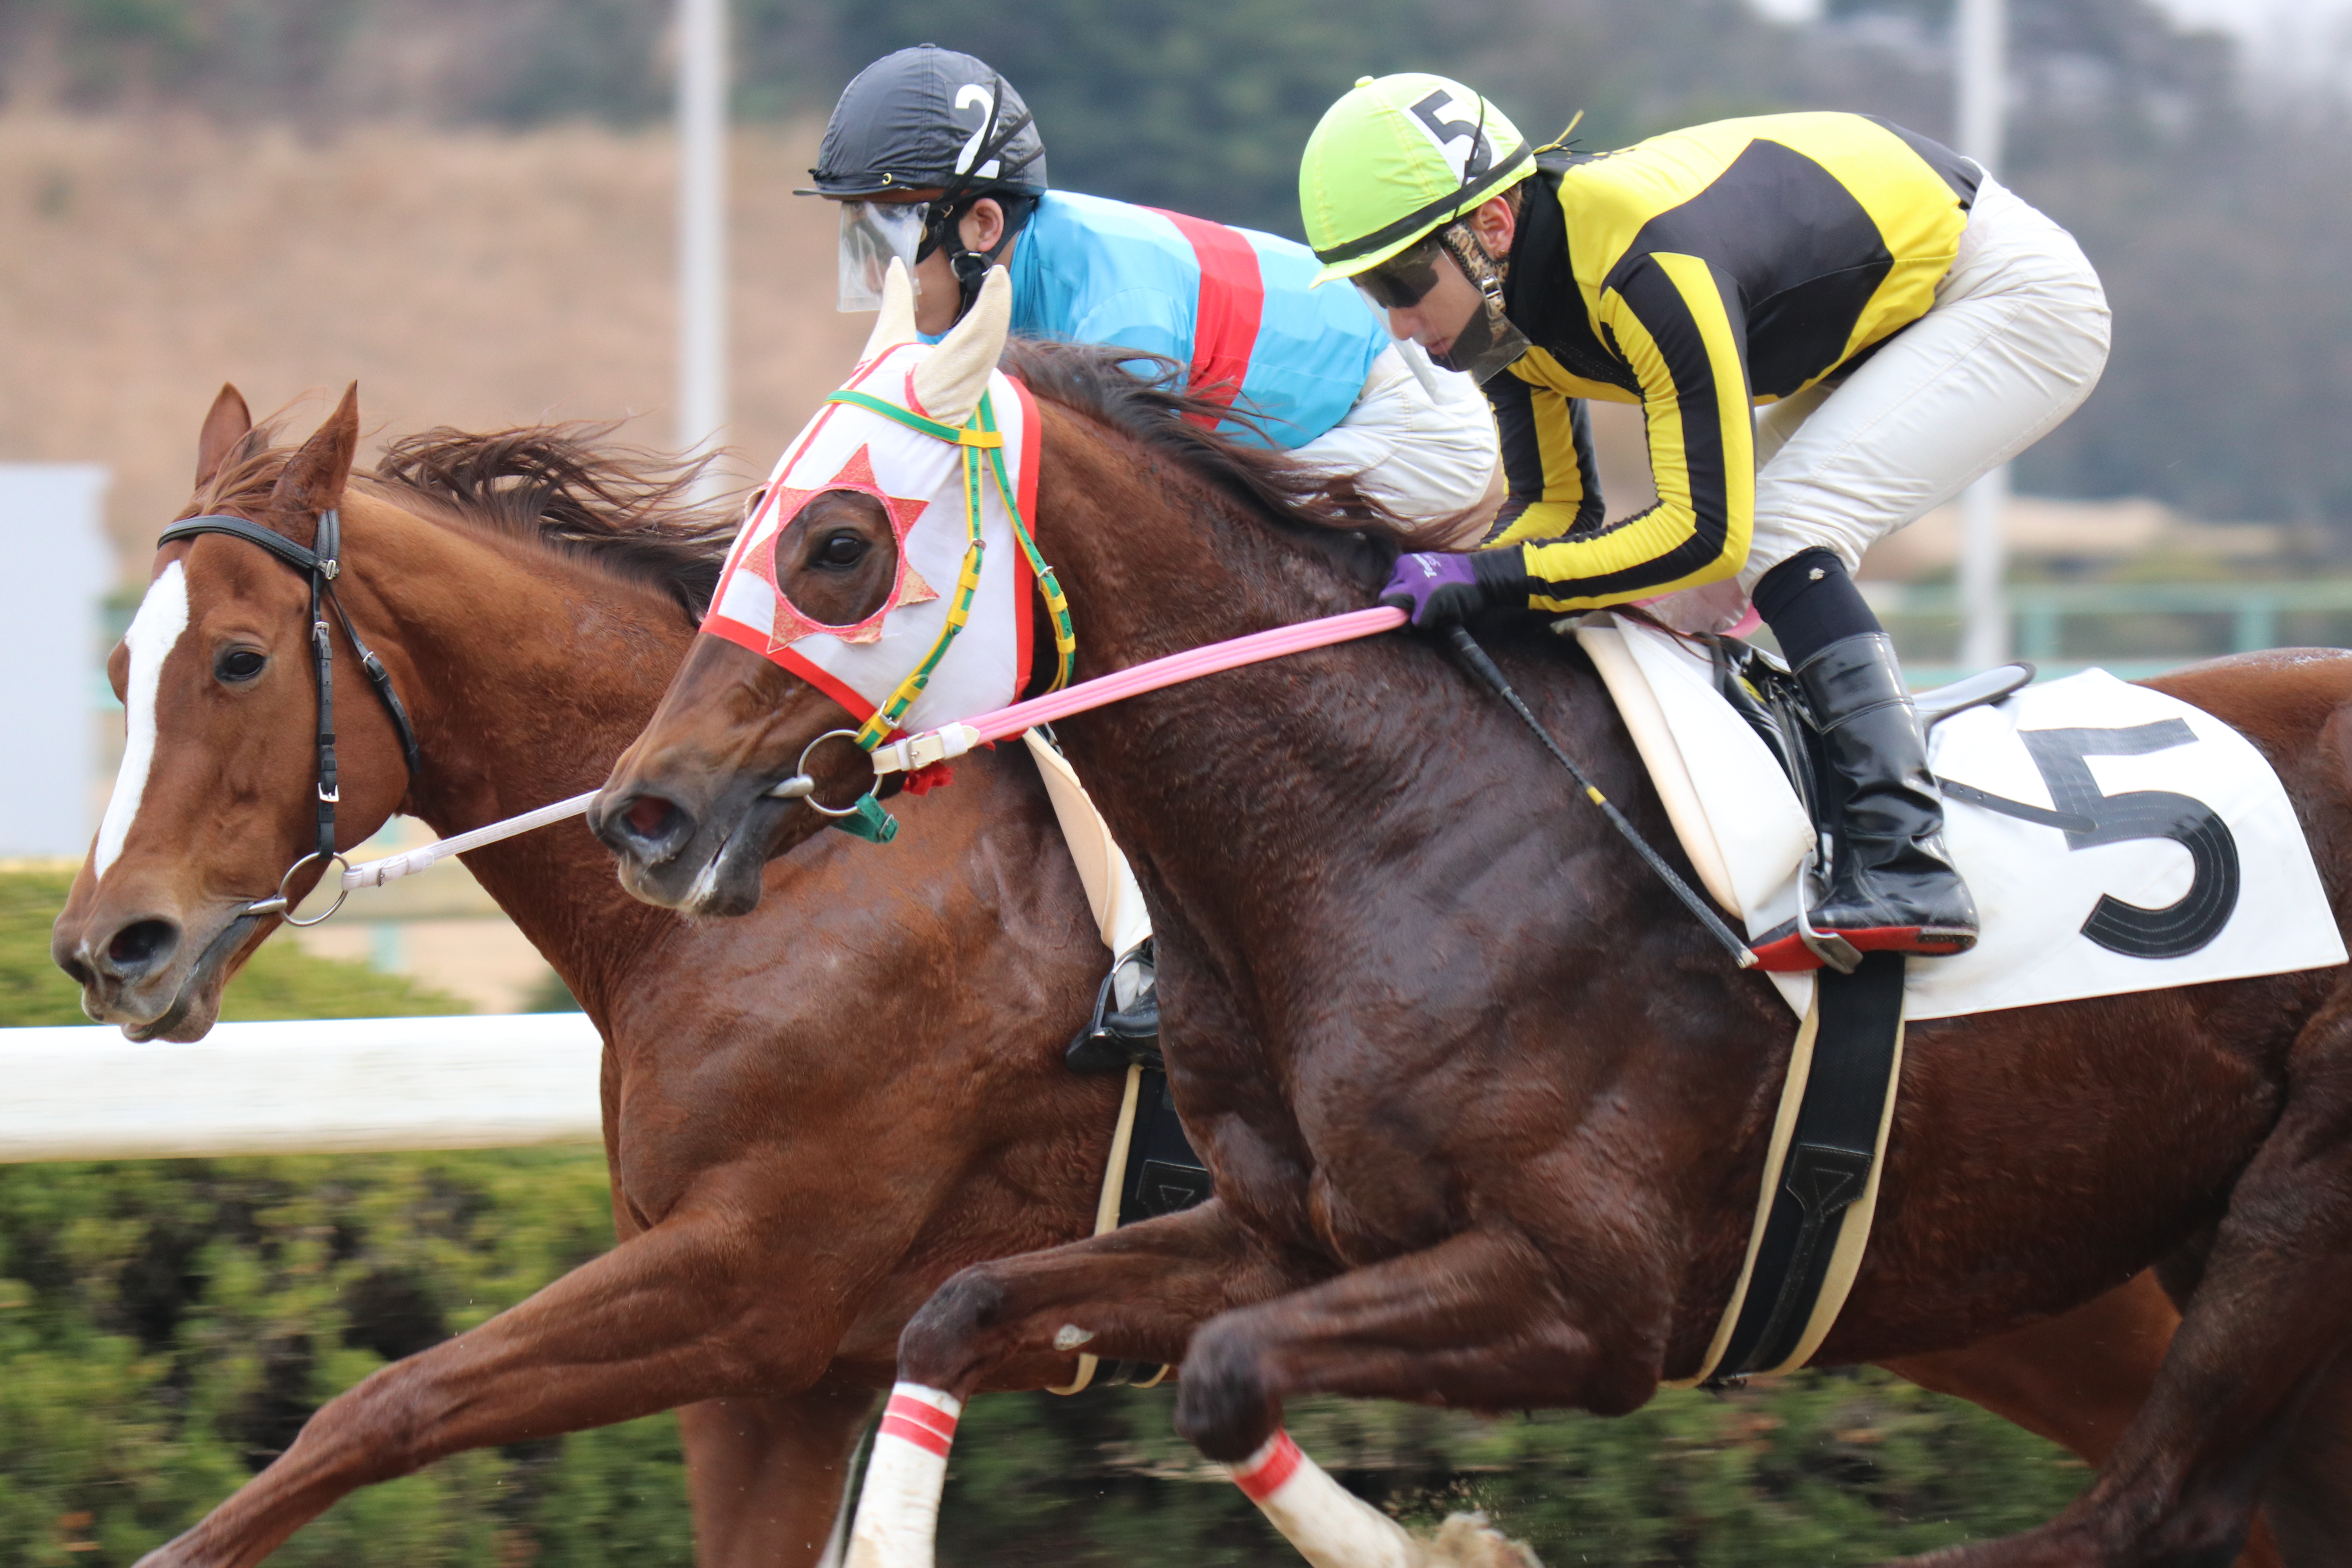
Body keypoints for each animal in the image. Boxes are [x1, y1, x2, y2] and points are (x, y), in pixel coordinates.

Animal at [593, 312, 2352, 1561]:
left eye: (837, 543)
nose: (645, 813)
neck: (1390, 819)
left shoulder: (1595, 1296)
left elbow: (1227, 1374)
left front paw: (1460, 1549)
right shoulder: (1284, 1230)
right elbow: (963, 1315)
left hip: (2285, 1213)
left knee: (2161, 1510)